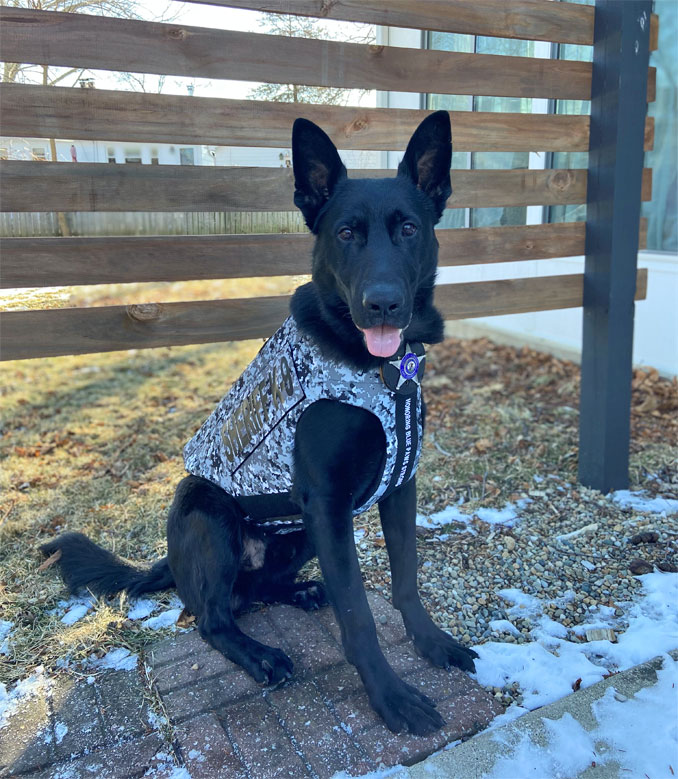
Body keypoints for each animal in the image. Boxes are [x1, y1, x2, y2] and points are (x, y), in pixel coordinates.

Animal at [42, 111, 478, 736]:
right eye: (346, 233)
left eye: (409, 229)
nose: (383, 304)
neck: (379, 369)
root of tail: (171, 561)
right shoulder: (327, 502)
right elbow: (359, 615)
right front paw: (391, 696)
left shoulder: (399, 487)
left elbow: (407, 582)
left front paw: (432, 643)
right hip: (208, 510)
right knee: (213, 617)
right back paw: (260, 655)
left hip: (302, 535)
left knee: (256, 593)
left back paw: (301, 594)